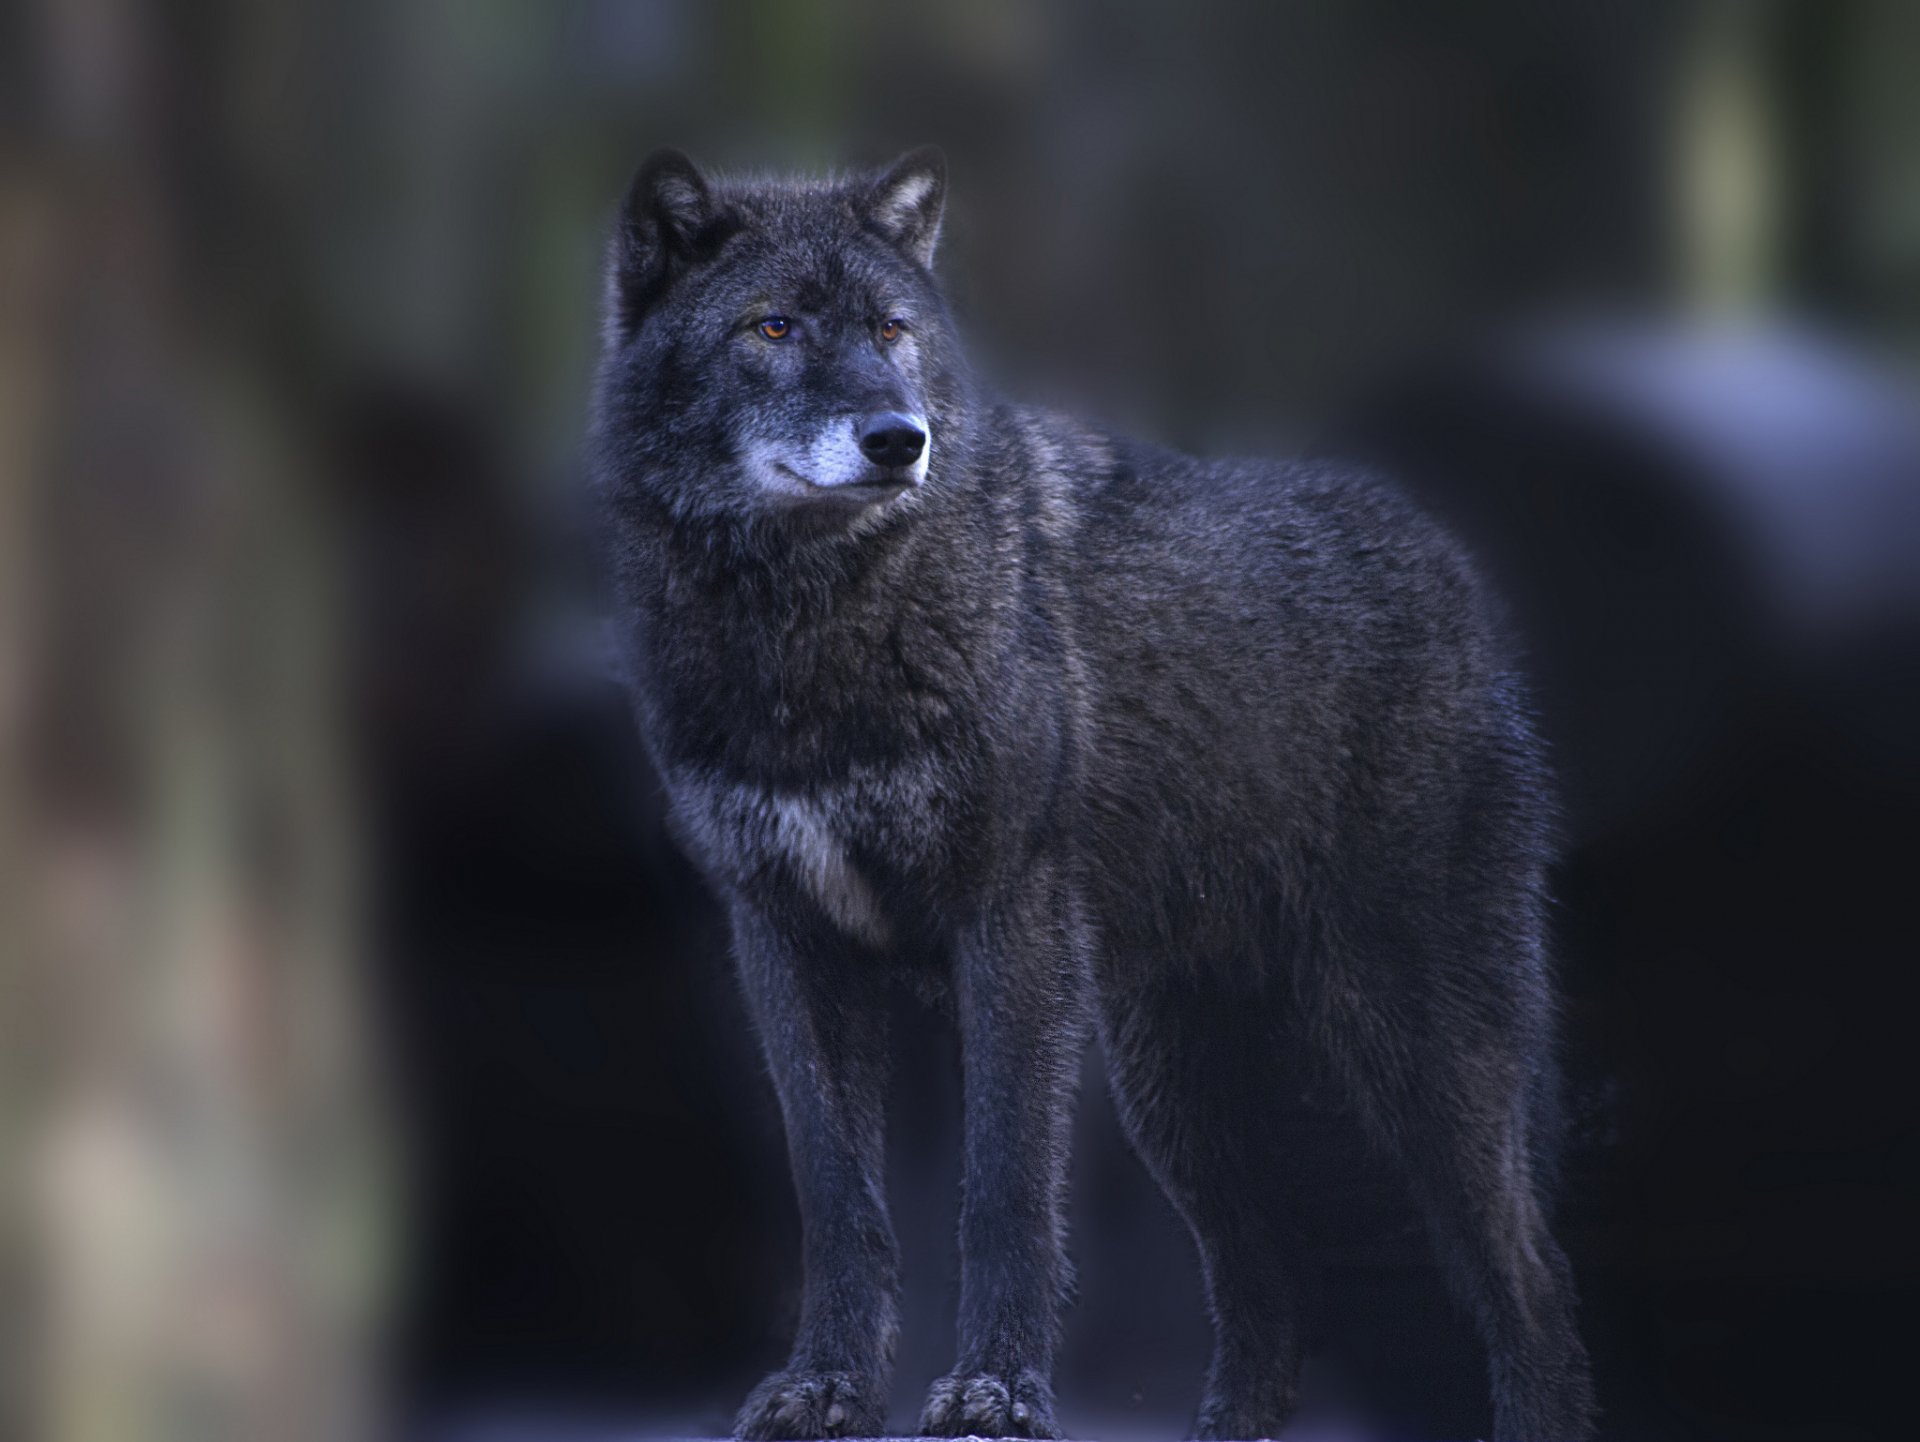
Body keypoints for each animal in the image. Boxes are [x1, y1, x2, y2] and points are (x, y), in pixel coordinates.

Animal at [589, 146, 1596, 1442]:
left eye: (892, 329)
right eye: (773, 327)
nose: (899, 439)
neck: (808, 632)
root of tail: (1449, 558)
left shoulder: (1006, 923)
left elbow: (1004, 1190)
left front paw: (994, 1392)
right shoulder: (782, 939)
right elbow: (838, 1202)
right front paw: (822, 1387)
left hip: (1418, 1053)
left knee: (1529, 1273)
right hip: (1181, 1091)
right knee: (1271, 1279)